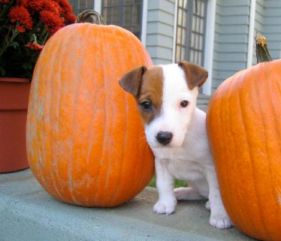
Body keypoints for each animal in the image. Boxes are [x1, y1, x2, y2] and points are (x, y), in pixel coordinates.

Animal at [119, 61, 231, 229]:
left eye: (184, 103)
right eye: (146, 104)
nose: (164, 137)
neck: (182, 143)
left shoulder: (211, 168)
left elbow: (217, 192)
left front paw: (220, 215)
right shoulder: (161, 162)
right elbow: (164, 184)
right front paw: (166, 204)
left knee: (208, 195)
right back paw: (181, 192)